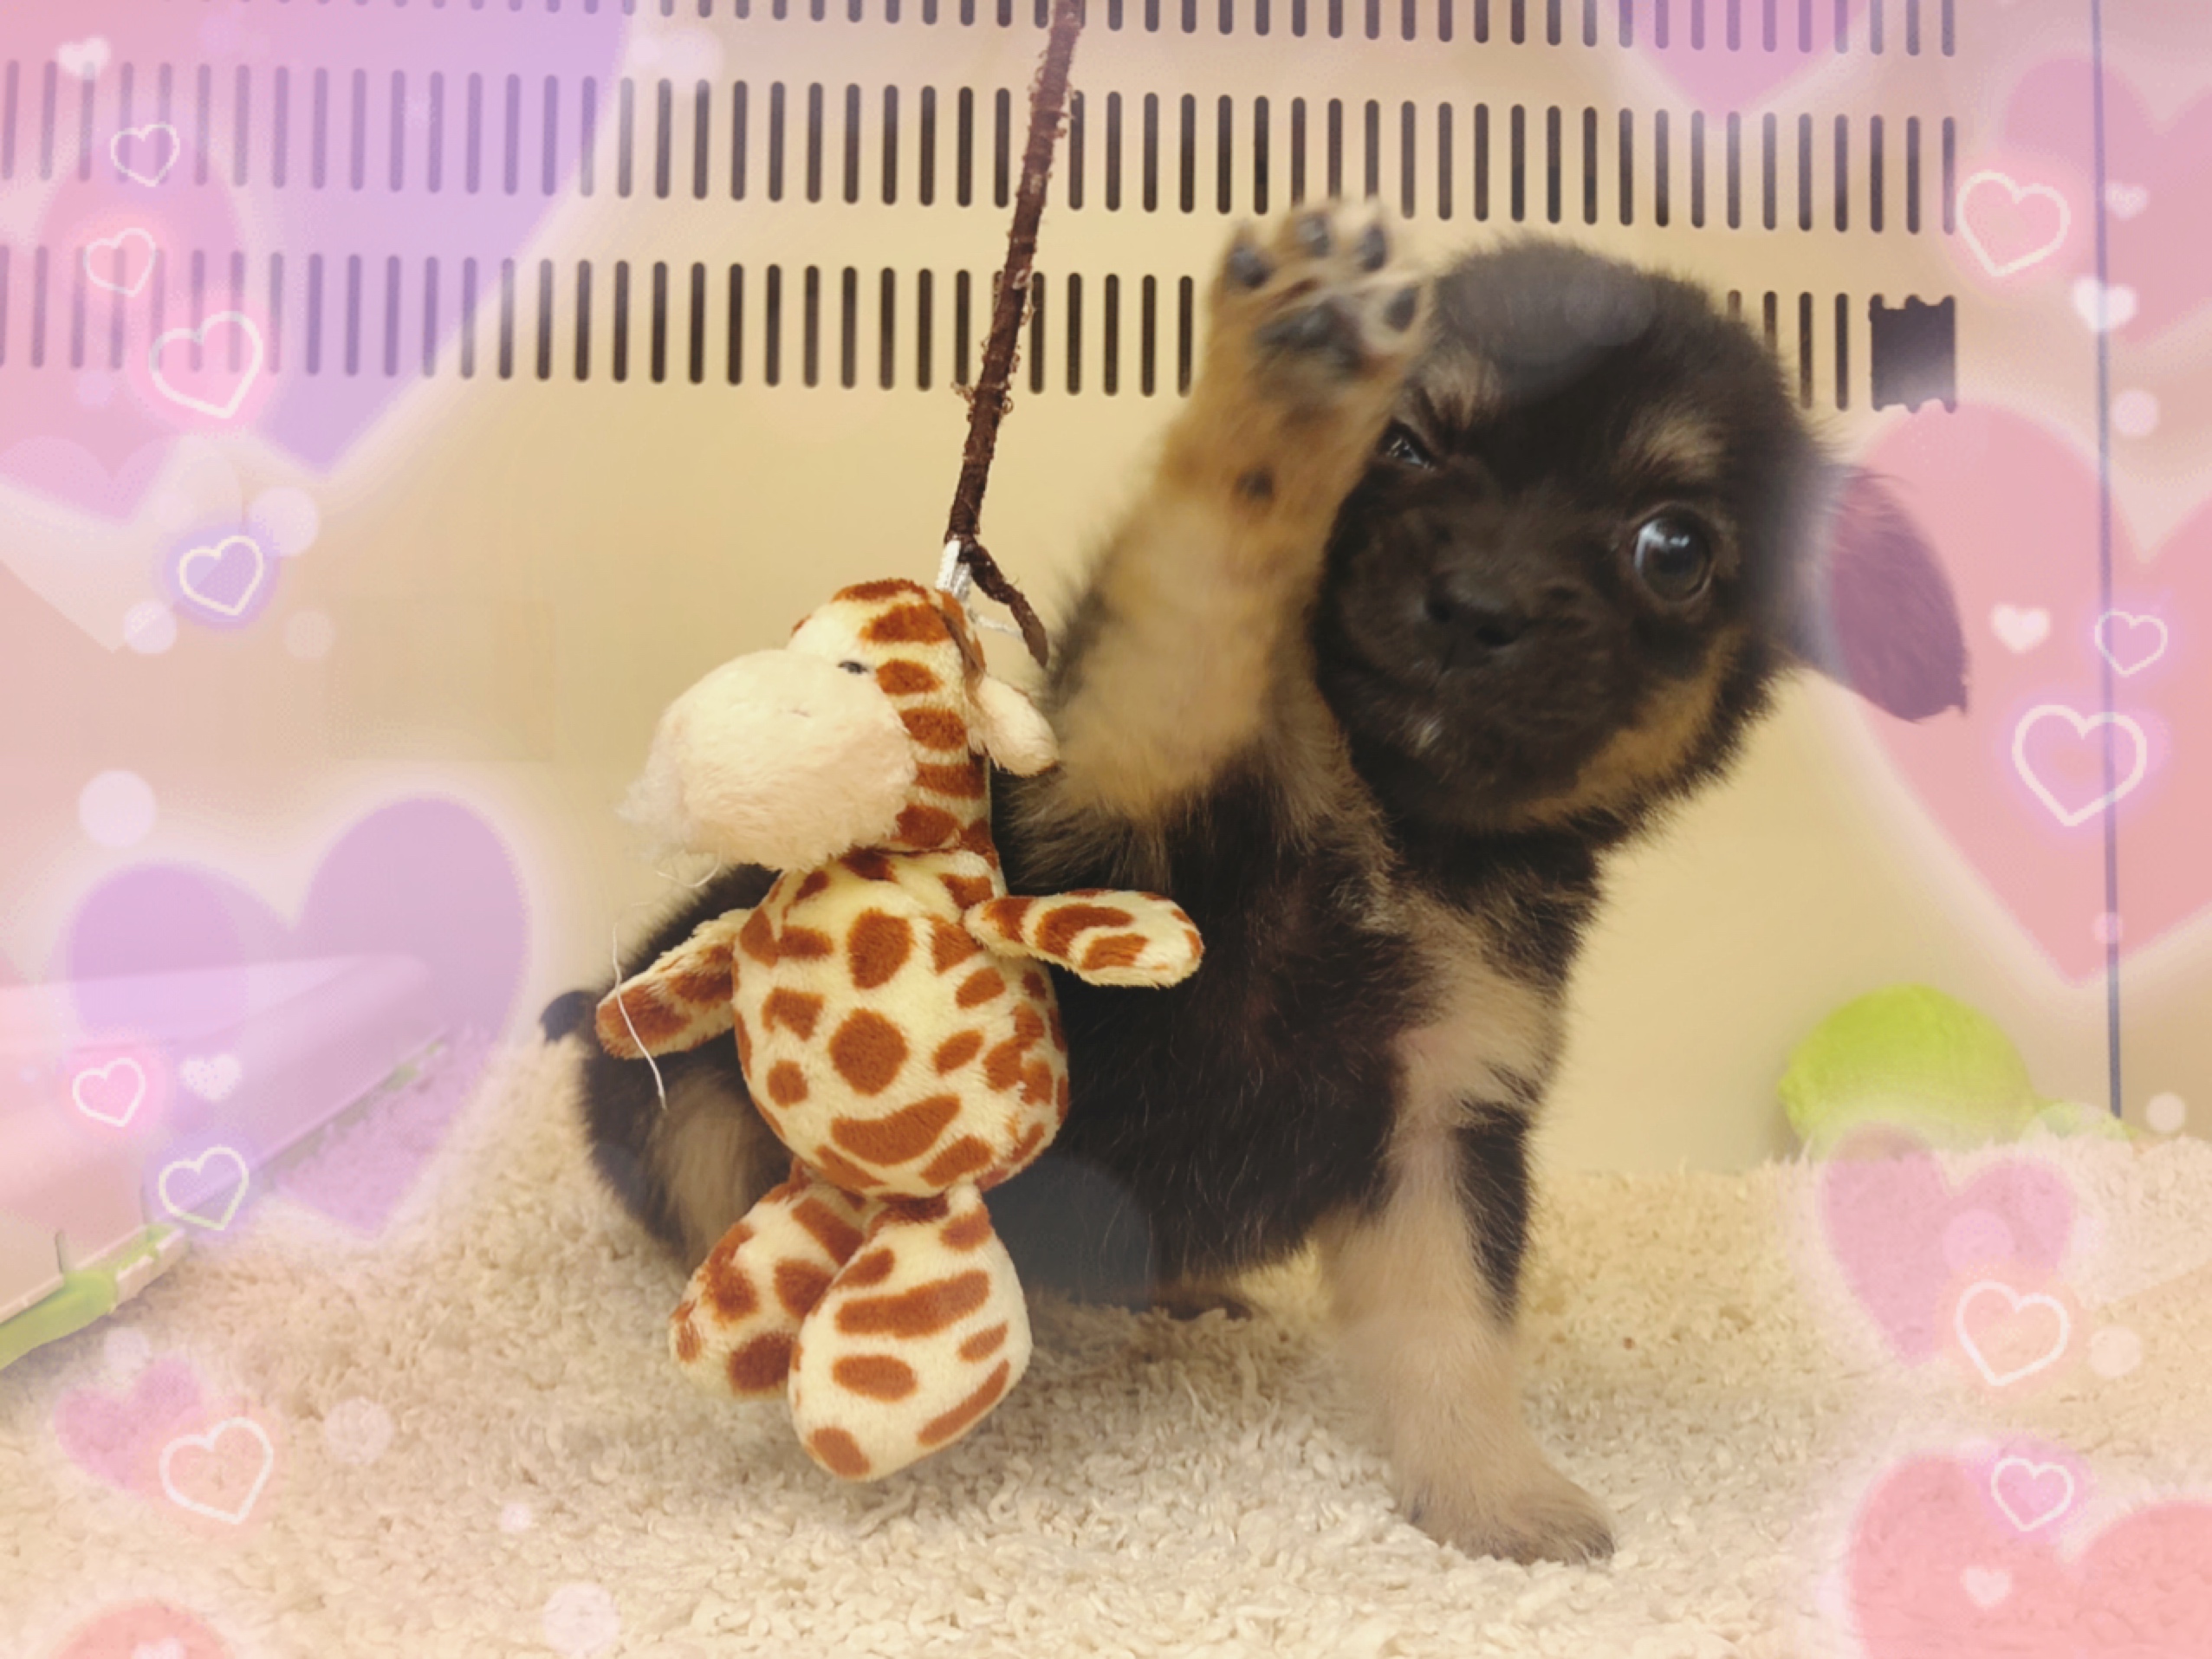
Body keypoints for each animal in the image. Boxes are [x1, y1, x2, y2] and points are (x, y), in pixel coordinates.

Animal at [558, 207, 1966, 1565]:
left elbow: (1455, 1330)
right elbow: (1207, 571)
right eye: (1401, 446)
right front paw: (1287, 371)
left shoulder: (1441, 1119)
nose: (1478, 602)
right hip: (689, 1104)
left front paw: (1495, 1496)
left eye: (1673, 548)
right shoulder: (1127, 775)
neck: (1396, 829)